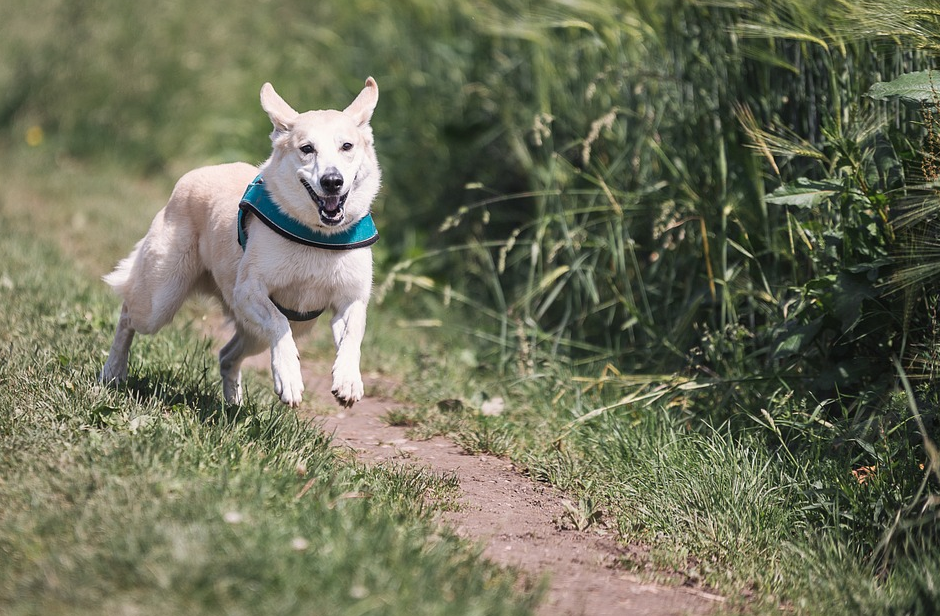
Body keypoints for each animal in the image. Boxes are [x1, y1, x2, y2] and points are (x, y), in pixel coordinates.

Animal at [99, 78, 382, 410]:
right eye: (307, 149)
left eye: (347, 146)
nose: (332, 181)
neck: (317, 236)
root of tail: (193, 175)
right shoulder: (249, 290)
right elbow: (279, 323)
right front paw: (289, 378)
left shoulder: (350, 300)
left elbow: (353, 336)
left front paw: (348, 380)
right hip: (159, 300)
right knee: (128, 315)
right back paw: (113, 372)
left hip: (253, 333)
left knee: (226, 355)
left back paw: (233, 404)